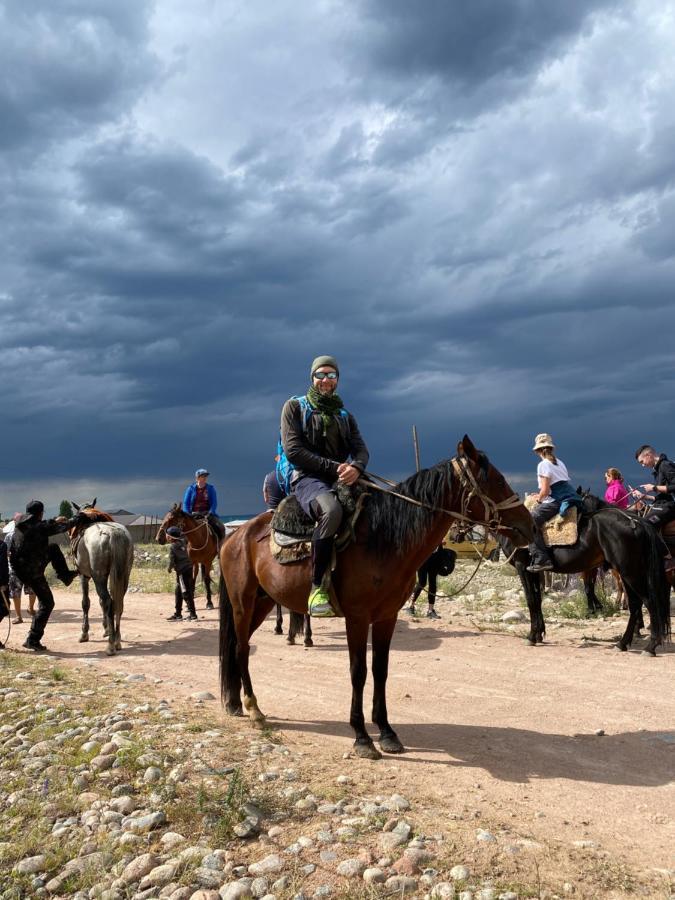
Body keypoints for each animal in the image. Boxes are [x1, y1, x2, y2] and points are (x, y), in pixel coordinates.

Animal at [70, 500, 135, 652]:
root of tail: (113, 534)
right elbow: (100, 602)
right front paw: (106, 629)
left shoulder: (84, 576)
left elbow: (85, 603)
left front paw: (84, 633)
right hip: (124, 574)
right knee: (118, 602)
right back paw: (117, 639)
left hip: (98, 577)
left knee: (108, 601)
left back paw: (111, 644)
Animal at [218, 436, 532, 760]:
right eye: (497, 480)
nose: (530, 525)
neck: (384, 539)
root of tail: (236, 534)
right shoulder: (357, 618)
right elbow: (359, 671)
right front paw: (361, 737)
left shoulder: (386, 616)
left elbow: (381, 670)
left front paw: (386, 731)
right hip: (243, 602)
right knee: (241, 648)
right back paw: (254, 708)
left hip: (263, 601)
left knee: (239, 646)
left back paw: (237, 703)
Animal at [502, 492, 672, 652]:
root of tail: (637, 522)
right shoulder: (535, 571)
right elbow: (538, 600)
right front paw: (539, 634)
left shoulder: (522, 566)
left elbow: (531, 600)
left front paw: (531, 636)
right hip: (629, 572)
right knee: (636, 604)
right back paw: (623, 643)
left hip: (630, 572)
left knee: (649, 601)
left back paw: (651, 646)